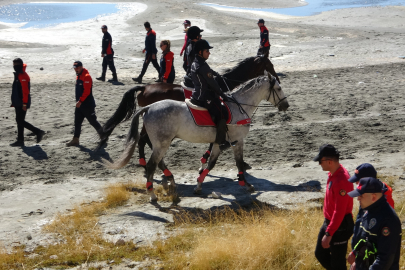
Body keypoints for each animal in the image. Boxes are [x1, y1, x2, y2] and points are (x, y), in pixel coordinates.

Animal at [99, 55, 280, 167]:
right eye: (269, 64)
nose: (277, 77)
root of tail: (144, 87)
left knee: (145, 140)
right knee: (144, 140)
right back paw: (148, 163)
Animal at [104, 73, 288, 201]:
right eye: (278, 89)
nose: (286, 105)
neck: (238, 107)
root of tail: (149, 107)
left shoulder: (218, 142)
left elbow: (211, 163)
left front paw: (199, 184)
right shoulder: (237, 141)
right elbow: (239, 163)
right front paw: (246, 184)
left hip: (161, 143)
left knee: (153, 157)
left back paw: (168, 179)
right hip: (162, 143)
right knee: (150, 164)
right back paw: (153, 194)